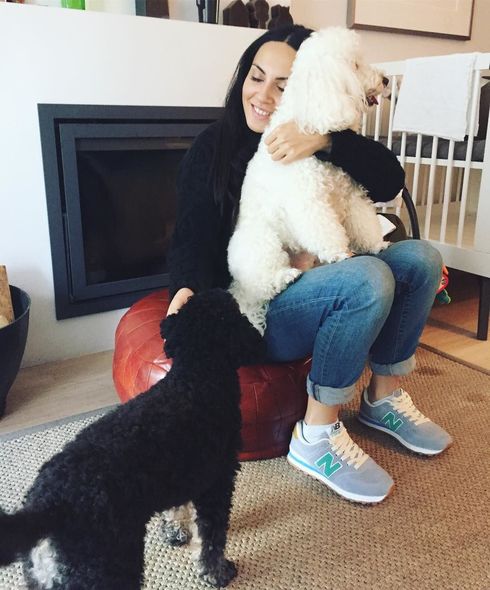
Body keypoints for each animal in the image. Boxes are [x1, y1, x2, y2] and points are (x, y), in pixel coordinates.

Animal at [0, 289, 264, 589]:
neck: (197, 376)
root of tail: (49, 508)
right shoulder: (217, 480)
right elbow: (212, 538)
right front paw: (217, 572)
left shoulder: (182, 473)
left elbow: (177, 507)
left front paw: (175, 532)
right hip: (112, 568)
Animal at [228, 27, 390, 333]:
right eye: (354, 65)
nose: (386, 80)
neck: (308, 115)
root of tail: (240, 292)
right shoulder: (308, 199)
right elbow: (324, 230)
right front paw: (339, 253)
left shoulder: (351, 194)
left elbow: (364, 221)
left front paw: (376, 244)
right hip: (260, 244)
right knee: (265, 281)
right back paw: (285, 277)